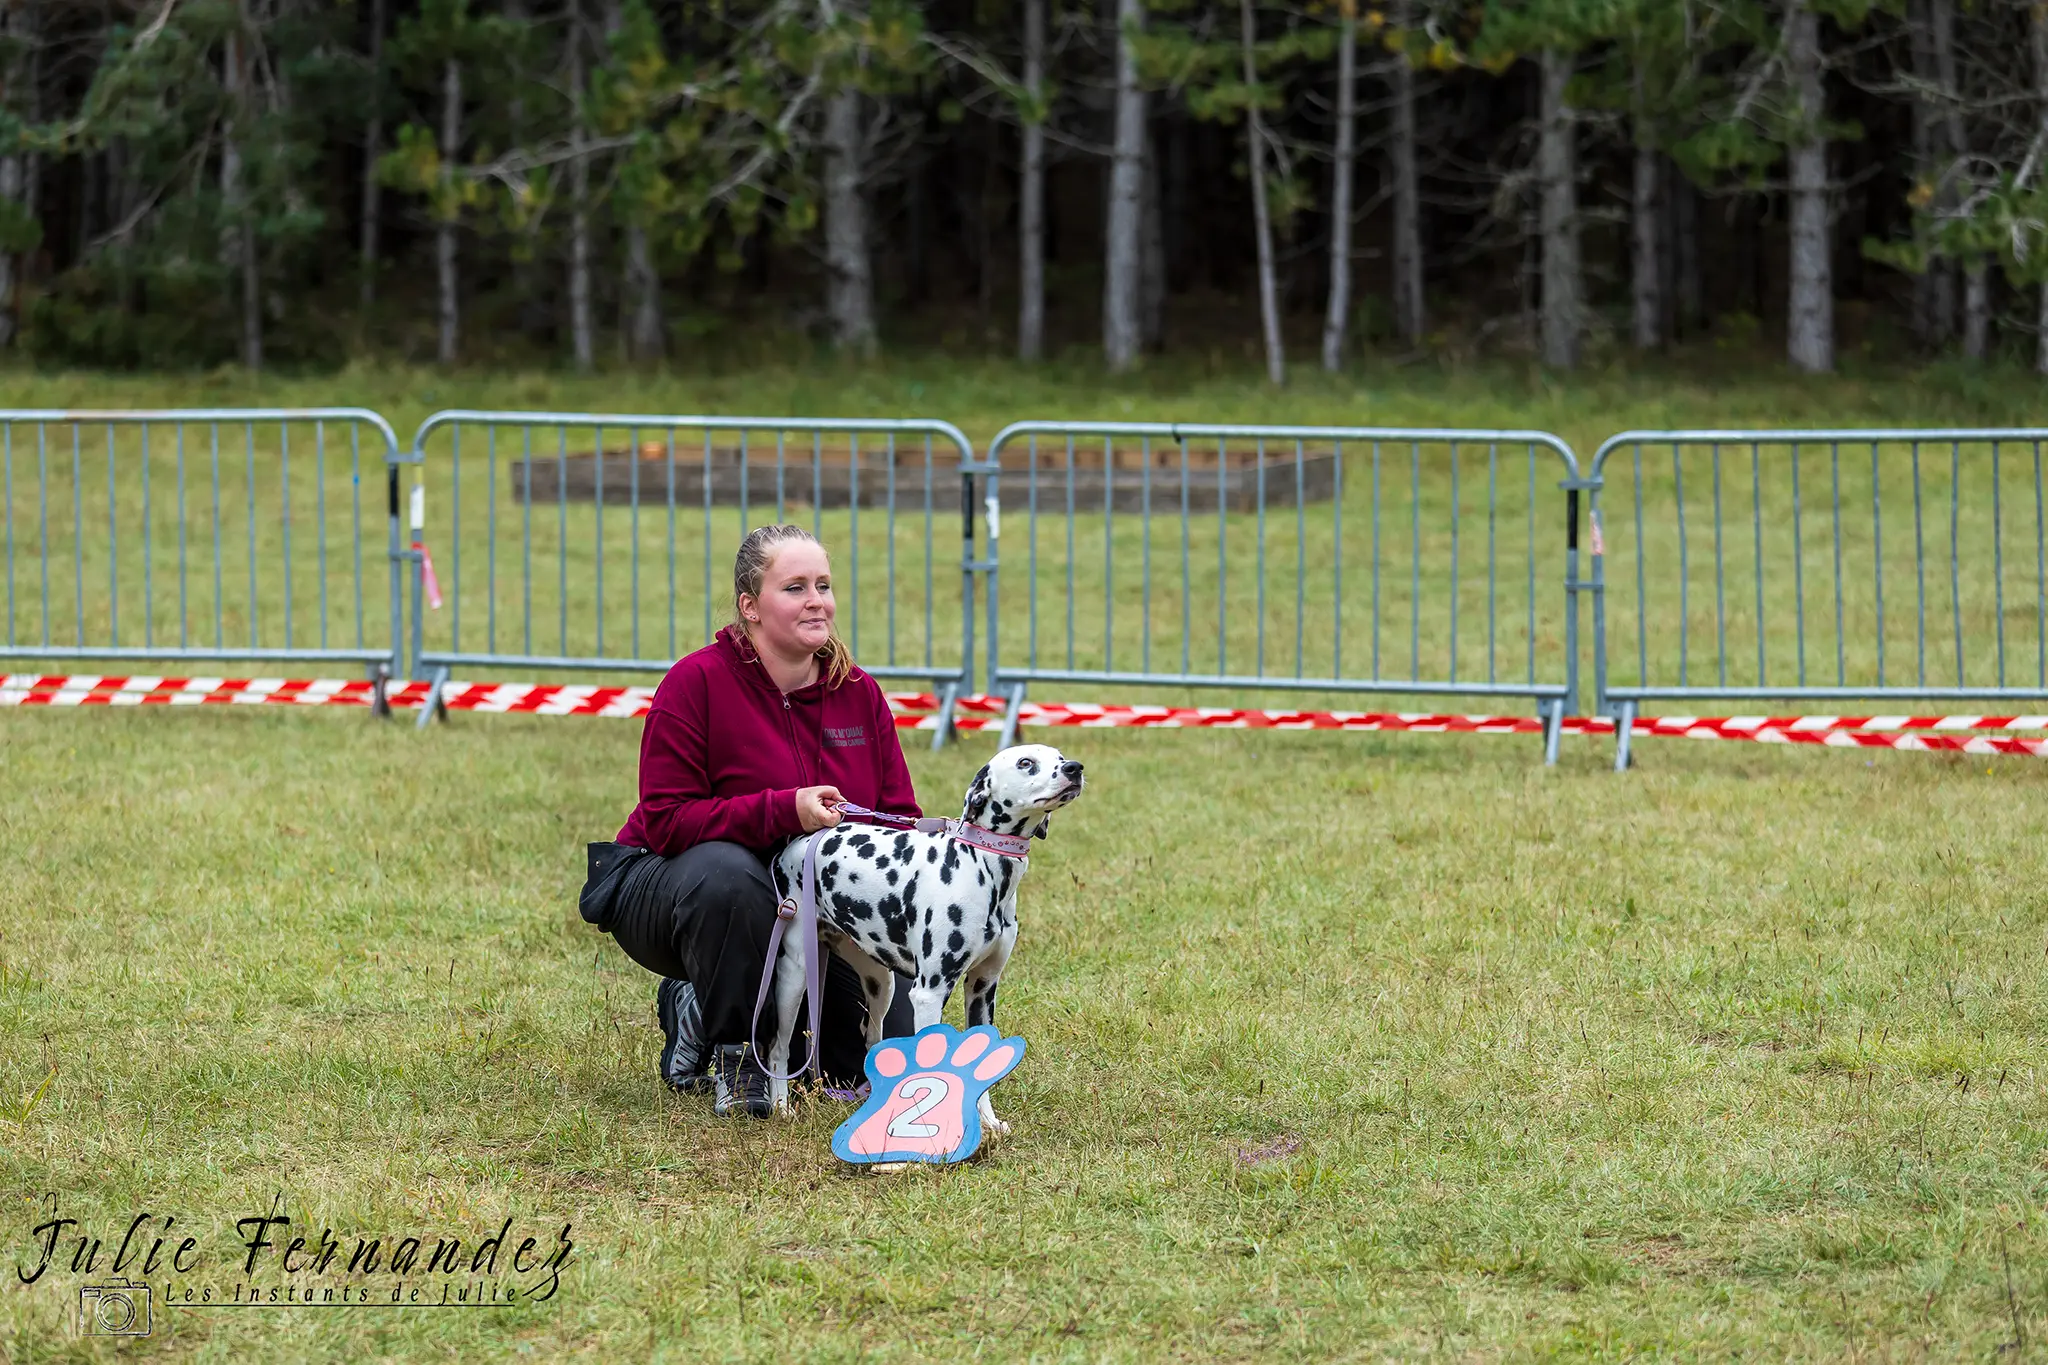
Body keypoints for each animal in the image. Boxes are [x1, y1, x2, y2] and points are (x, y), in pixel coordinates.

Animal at [770, 740, 1089, 1129]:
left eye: (1060, 758)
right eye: (1026, 762)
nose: (1074, 768)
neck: (982, 867)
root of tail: (800, 840)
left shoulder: (982, 989)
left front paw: (987, 1123)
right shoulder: (929, 994)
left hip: (880, 983)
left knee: (871, 1036)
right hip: (794, 975)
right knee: (777, 1047)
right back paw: (781, 1105)